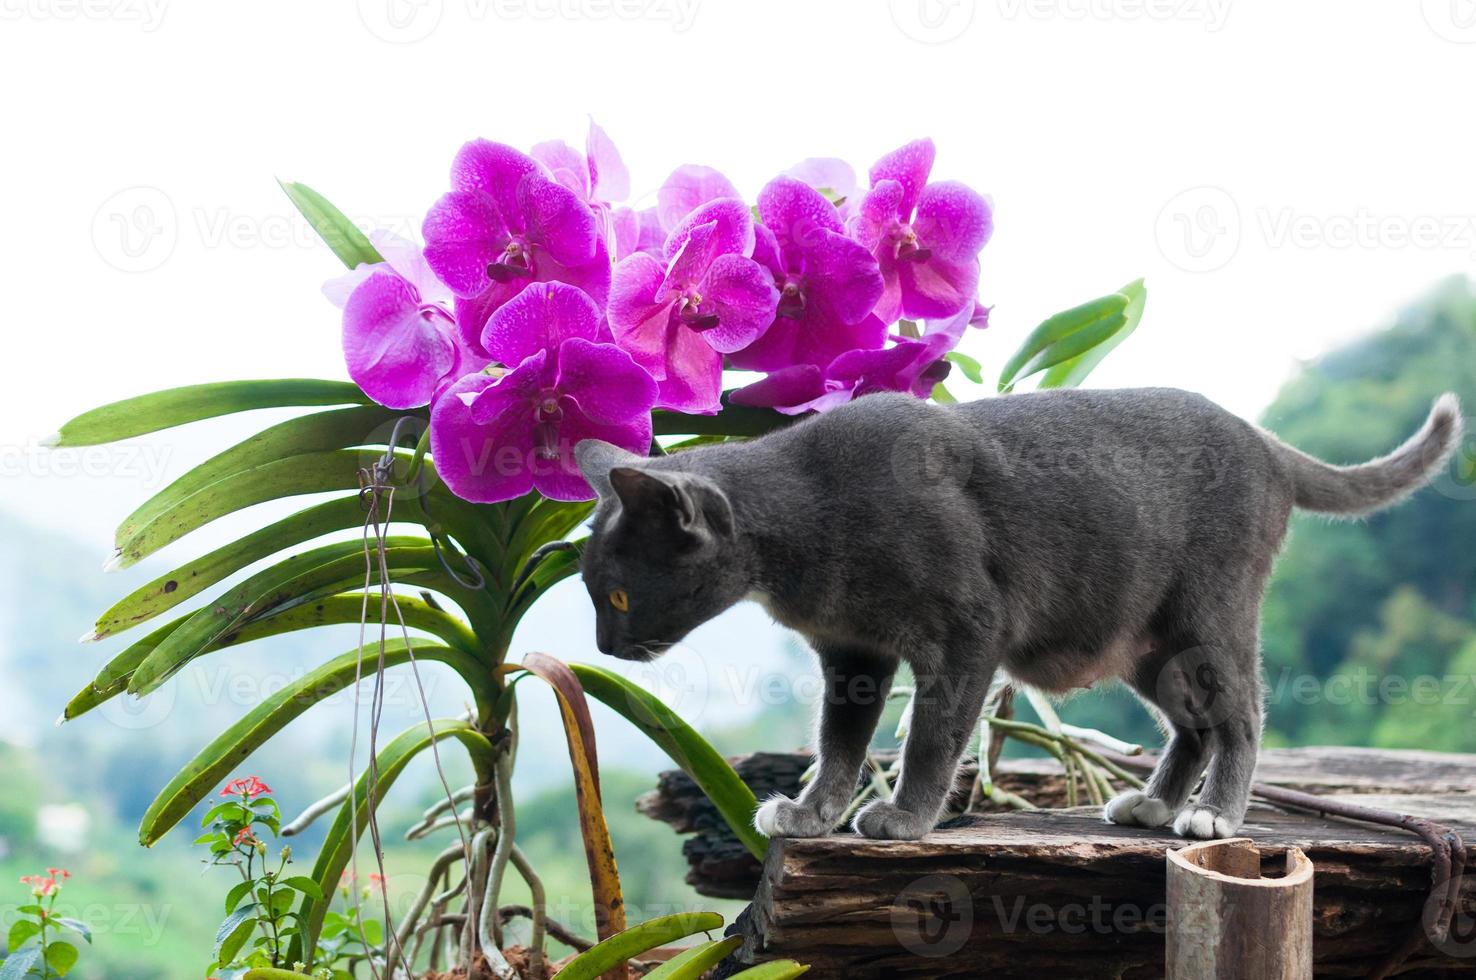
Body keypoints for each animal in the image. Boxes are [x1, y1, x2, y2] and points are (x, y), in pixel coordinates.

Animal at [569, 386, 1458, 838]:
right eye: (592, 596)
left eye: (618, 594)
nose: (606, 647)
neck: (807, 515)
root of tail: (1266, 440)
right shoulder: (852, 655)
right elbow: (838, 740)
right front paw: (815, 811)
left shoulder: (970, 629)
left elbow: (932, 735)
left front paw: (904, 816)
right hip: (1145, 643)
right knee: (1193, 724)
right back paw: (1157, 802)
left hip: (1207, 613)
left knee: (1241, 714)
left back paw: (1211, 814)